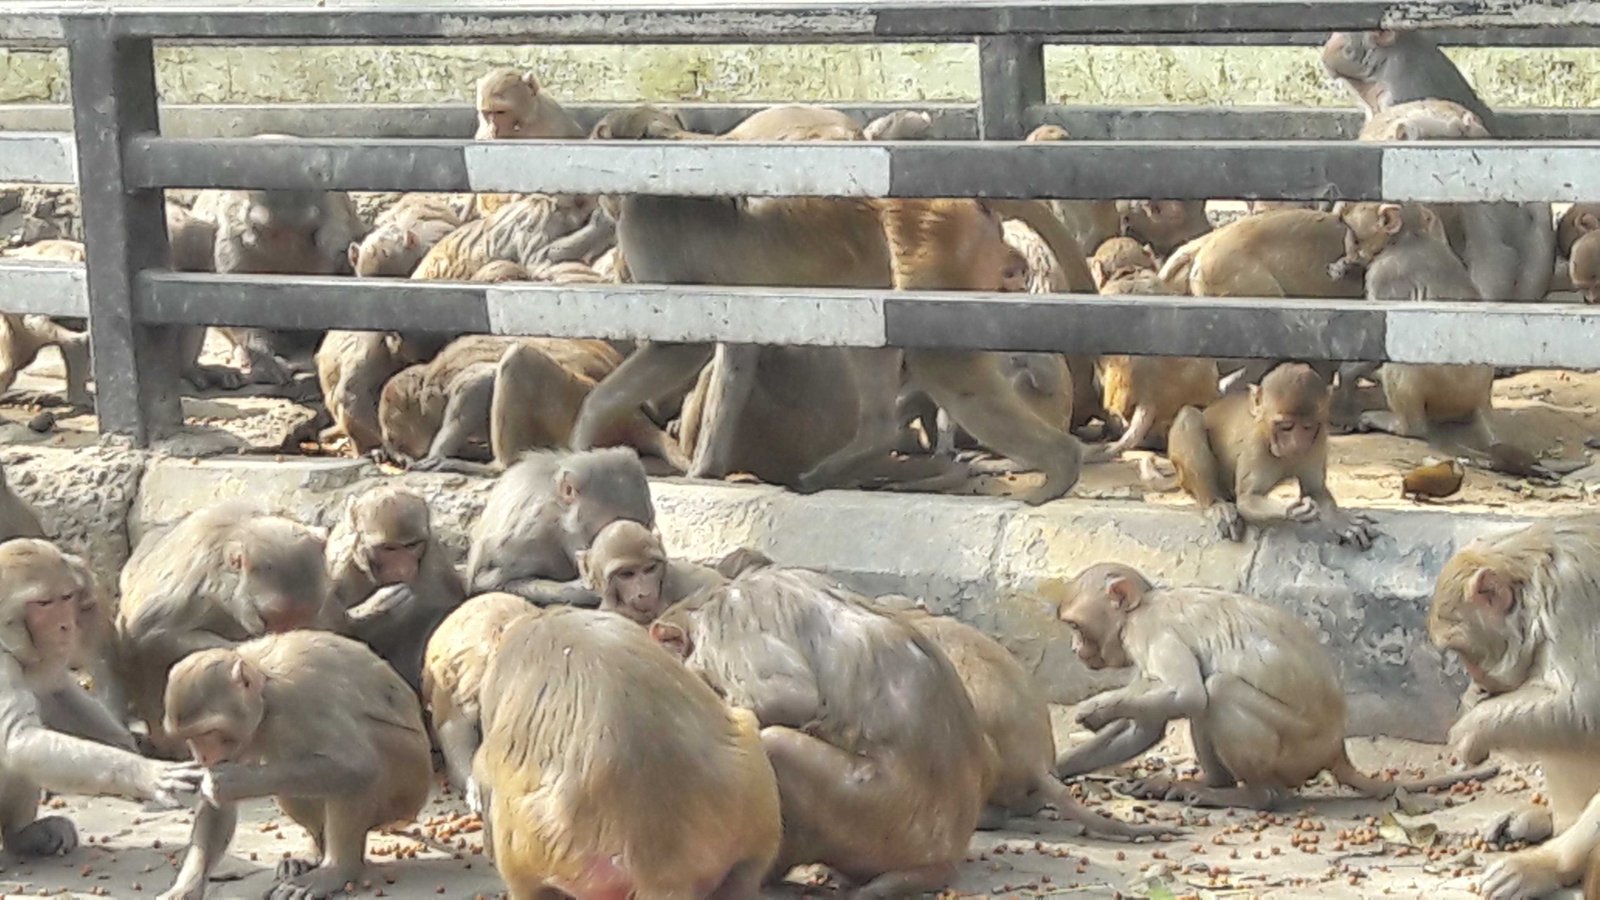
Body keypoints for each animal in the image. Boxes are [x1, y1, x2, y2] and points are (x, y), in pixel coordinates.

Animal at [159, 631, 431, 900]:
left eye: (209, 732)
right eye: (189, 737)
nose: (203, 757)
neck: (265, 693)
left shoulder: (296, 699)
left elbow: (358, 764)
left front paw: (234, 781)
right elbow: (218, 807)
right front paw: (186, 889)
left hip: (406, 783)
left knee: (355, 773)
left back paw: (336, 870)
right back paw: (313, 856)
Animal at [324, 485, 466, 692]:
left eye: (412, 545)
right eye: (388, 548)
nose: (403, 569)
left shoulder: (436, 563)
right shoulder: (339, 569)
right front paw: (375, 607)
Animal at [1056, 562, 1496, 809]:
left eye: (1076, 627)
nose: (1075, 650)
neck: (1139, 609)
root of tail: (1335, 746)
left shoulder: (1151, 631)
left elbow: (1188, 694)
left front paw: (1096, 708)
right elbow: (1146, 725)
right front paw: (1057, 769)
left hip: (1296, 752)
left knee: (1218, 690)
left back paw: (1247, 796)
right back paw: (1207, 783)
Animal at [1166, 362, 1376, 549]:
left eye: (1307, 427)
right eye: (1286, 426)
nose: (1295, 445)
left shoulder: (1318, 440)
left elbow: (1315, 490)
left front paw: (1339, 520)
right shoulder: (1257, 445)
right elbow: (1247, 499)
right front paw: (1293, 509)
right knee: (1189, 416)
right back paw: (1216, 505)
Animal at [1426, 516, 1600, 900]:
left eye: (1459, 650)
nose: (1475, 680)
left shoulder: (1573, 601)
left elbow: (1583, 707)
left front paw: (1471, 729)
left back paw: (1549, 865)